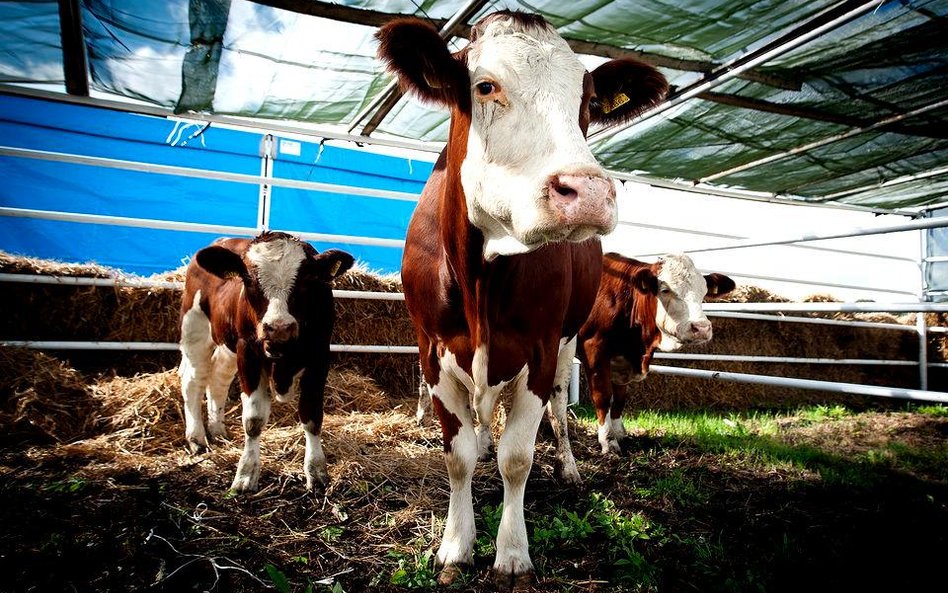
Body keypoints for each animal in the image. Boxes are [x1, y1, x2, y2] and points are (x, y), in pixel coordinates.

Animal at [180, 231, 354, 490]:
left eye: (306, 279)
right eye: (249, 280)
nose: (279, 327)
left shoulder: (320, 355)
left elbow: (311, 416)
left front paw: (316, 471)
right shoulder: (248, 352)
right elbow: (253, 420)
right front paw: (245, 473)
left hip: (227, 346)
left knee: (218, 379)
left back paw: (218, 429)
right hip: (195, 328)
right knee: (193, 380)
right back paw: (197, 438)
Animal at [378, 10, 668, 588]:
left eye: (587, 103)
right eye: (486, 86)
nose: (589, 191)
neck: (478, 278)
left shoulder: (538, 348)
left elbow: (517, 458)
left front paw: (511, 553)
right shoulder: (433, 351)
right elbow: (459, 455)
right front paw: (455, 546)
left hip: (567, 342)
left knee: (557, 407)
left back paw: (569, 466)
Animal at [572, 251, 736, 454]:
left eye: (704, 292)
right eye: (665, 290)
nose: (702, 328)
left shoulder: (622, 361)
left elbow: (619, 398)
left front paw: (619, 433)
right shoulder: (593, 348)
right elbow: (603, 395)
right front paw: (608, 440)